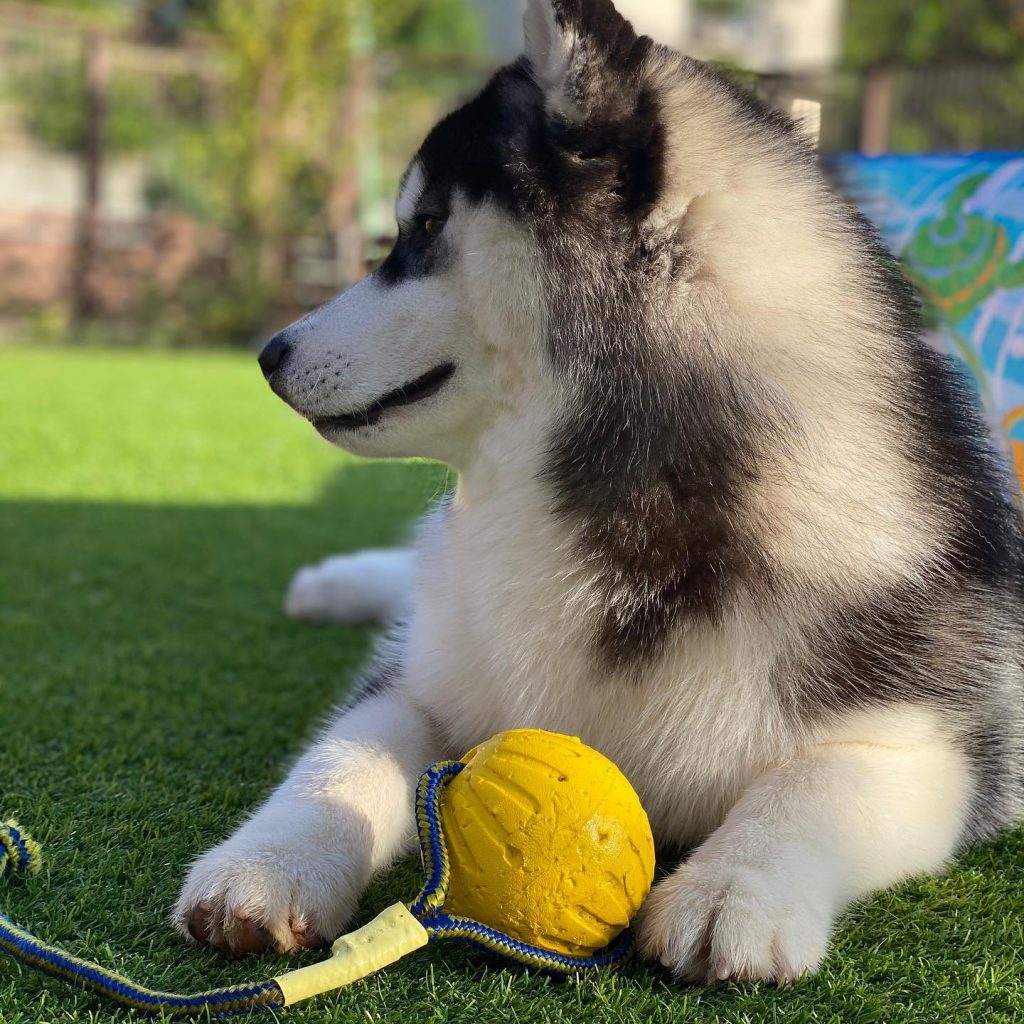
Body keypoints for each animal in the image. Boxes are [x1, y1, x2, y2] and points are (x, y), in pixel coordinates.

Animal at [176, 0, 1024, 983]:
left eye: (423, 227)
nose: (268, 355)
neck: (622, 500)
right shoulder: (427, 683)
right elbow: (337, 758)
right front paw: (267, 865)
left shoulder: (941, 747)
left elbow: (812, 785)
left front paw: (732, 888)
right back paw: (332, 585)